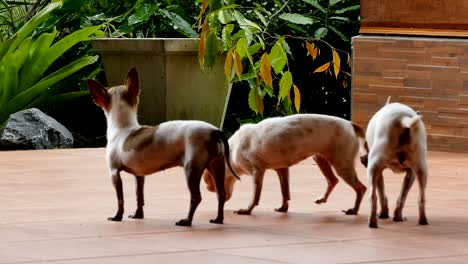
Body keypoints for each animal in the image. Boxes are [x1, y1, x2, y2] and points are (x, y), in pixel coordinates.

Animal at [85, 67, 238, 226]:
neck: (123, 128)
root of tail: (214, 131)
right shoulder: (139, 176)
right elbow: (139, 196)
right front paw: (138, 215)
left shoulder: (114, 173)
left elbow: (120, 199)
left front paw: (117, 216)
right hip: (216, 166)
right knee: (221, 194)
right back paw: (218, 219)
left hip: (191, 169)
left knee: (196, 197)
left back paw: (187, 221)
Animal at [203, 114, 368, 216]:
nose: (219, 198)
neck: (231, 150)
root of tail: (350, 124)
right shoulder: (281, 169)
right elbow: (285, 192)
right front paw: (283, 208)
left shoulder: (257, 172)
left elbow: (255, 197)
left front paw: (247, 210)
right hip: (321, 159)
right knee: (333, 180)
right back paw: (323, 199)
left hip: (341, 165)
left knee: (361, 188)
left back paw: (354, 209)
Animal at [362, 98, 428, 228]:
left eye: (366, 145)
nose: (363, 159)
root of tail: (403, 121)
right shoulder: (411, 174)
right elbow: (402, 196)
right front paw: (397, 216)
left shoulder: (378, 172)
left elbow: (381, 194)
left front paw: (384, 213)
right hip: (422, 171)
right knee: (421, 198)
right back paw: (421, 220)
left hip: (372, 168)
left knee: (373, 197)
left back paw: (372, 221)